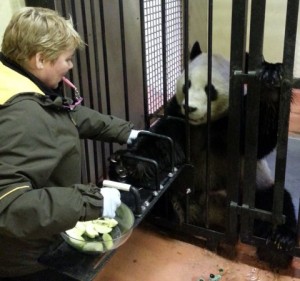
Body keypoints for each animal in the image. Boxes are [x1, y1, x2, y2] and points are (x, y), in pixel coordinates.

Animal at [109, 41, 296, 266]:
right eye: (186, 85)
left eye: (210, 90)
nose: (190, 107)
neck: (205, 124)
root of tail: (211, 214)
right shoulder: (177, 114)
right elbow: (162, 139)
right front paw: (132, 164)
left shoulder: (233, 122)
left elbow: (258, 139)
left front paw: (271, 80)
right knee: (169, 199)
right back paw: (174, 209)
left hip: (254, 188)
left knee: (273, 203)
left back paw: (278, 246)